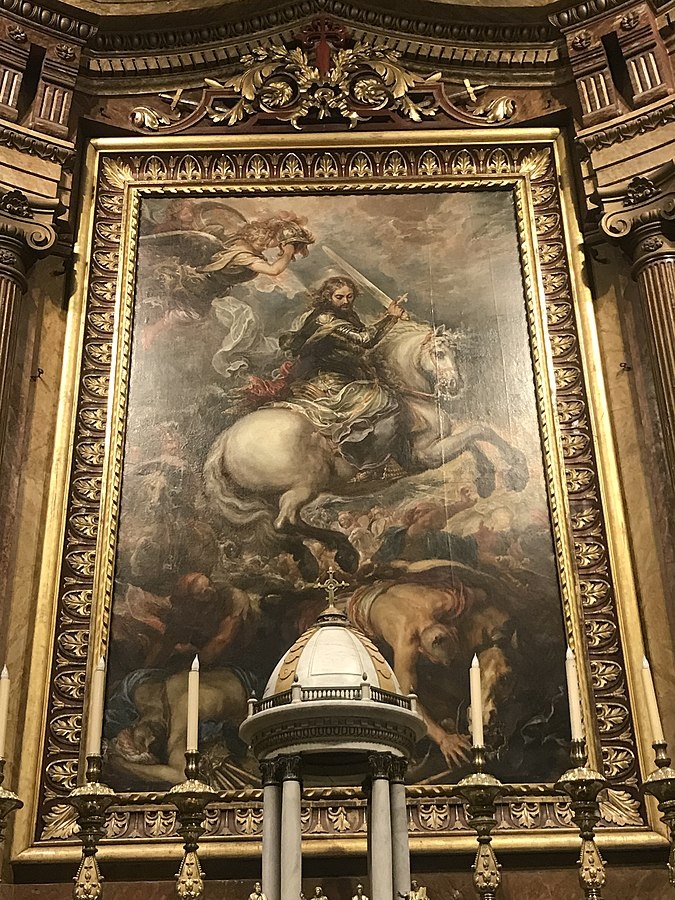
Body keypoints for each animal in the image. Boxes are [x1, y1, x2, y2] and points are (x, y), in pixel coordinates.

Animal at [203, 320, 532, 572]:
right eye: (439, 353)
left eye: (454, 353)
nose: (454, 386)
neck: (411, 399)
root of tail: (226, 439)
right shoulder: (422, 456)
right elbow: (479, 431)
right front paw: (518, 470)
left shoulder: (439, 444)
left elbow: (471, 440)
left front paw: (487, 479)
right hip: (305, 486)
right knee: (285, 522)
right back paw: (342, 551)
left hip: (273, 496)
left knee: (277, 527)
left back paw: (315, 559)